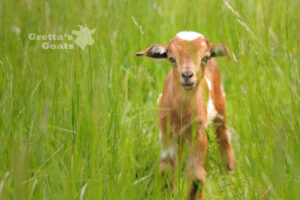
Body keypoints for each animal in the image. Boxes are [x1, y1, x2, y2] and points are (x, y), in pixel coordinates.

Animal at [137, 31, 237, 200]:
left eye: (205, 57)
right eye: (171, 58)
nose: (187, 76)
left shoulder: (198, 131)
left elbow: (196, 176)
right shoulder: (166, 132)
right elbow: (166, 171)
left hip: (220, 106)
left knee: (223, 136)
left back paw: (229, 171)